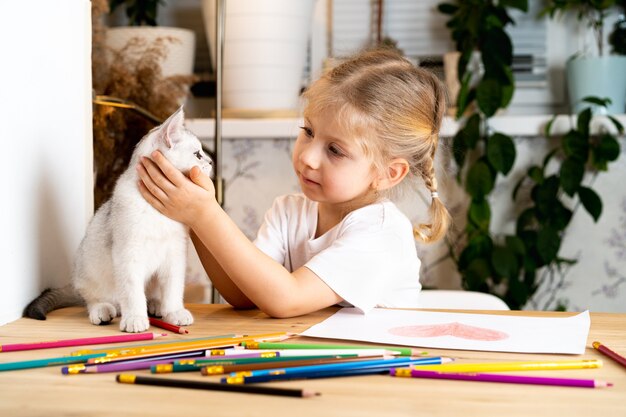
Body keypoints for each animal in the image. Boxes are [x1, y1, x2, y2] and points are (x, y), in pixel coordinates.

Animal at [23, 107, 212, 332]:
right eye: (197, 154)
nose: (211, 162)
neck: (157, 212)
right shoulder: (129, 255)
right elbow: (132, 293)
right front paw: (135, 318)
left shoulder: (175, 255)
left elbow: (173, 289)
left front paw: (174, 312)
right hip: (87, 270)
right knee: (95, 300)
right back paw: (103, 311)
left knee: (151, 294)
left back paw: (156, 305)